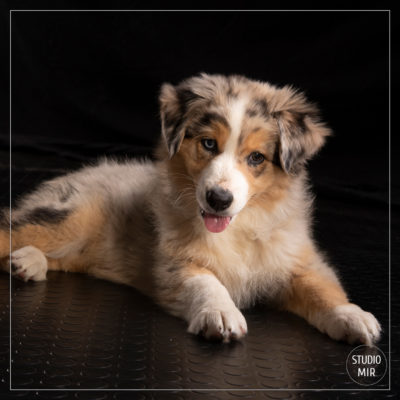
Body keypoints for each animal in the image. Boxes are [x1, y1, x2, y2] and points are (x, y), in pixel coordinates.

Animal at [0, 73, 382, 346]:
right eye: (208, 144)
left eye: (256, 158)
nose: (218, 199)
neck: (237, 229)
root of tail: (81, 171)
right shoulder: (175, 262)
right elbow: (206, 281)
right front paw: (221, 313)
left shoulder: (298, 260)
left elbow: (323, 288)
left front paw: (352, 316)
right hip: (73, 217)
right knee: (11, 227)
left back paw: (27, 262)